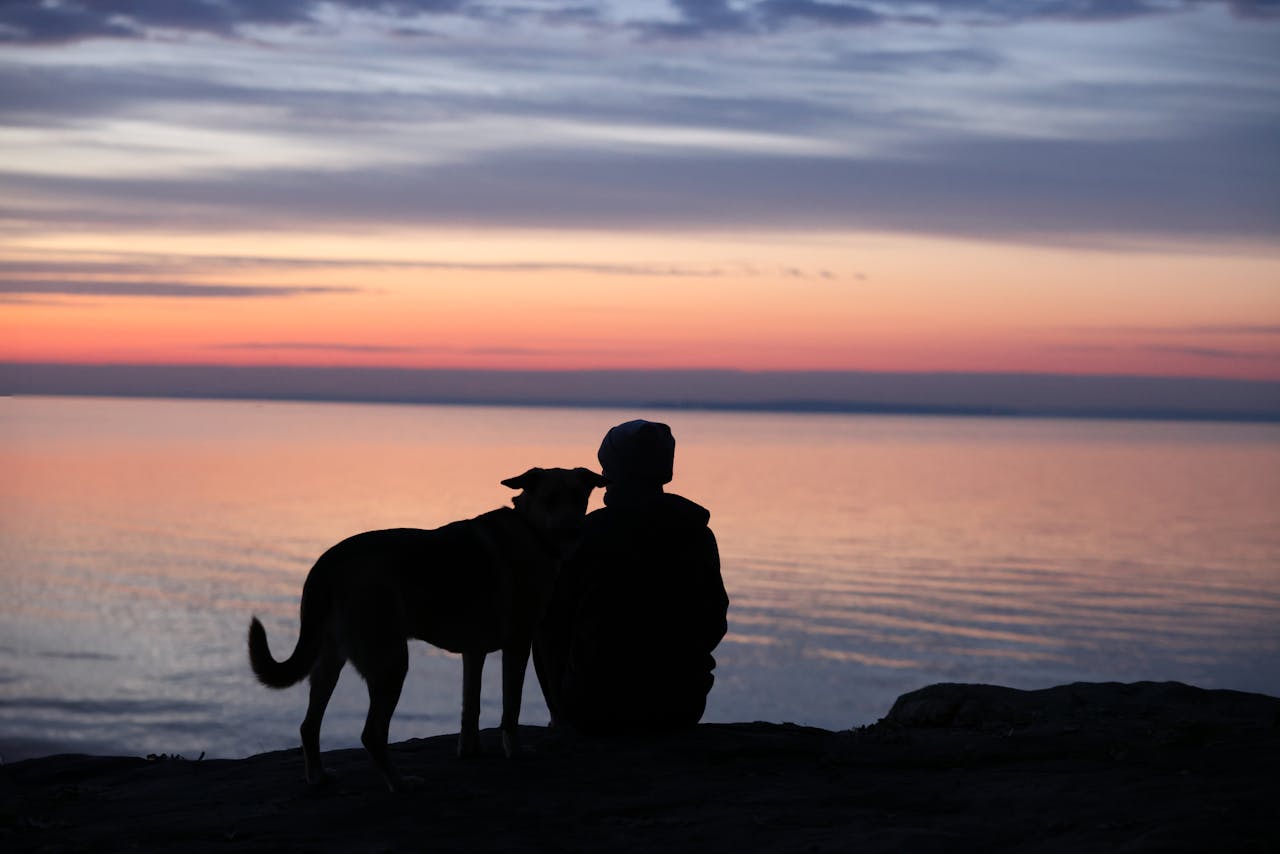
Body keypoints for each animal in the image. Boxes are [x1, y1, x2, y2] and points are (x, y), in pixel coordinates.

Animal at [253, 468, 609, 793]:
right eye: (550, 499)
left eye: (579, 498)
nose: (574, 529)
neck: (531, 529)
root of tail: (327, 563)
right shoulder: (518, 644)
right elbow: (511, 707)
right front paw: (516, 751)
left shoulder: (474, 652)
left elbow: (471, 705)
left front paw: (471, 750)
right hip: (391, 662)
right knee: (372, 734)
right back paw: (399, 783)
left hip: (329, 661)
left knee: (309, 725)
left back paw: (319, 777)